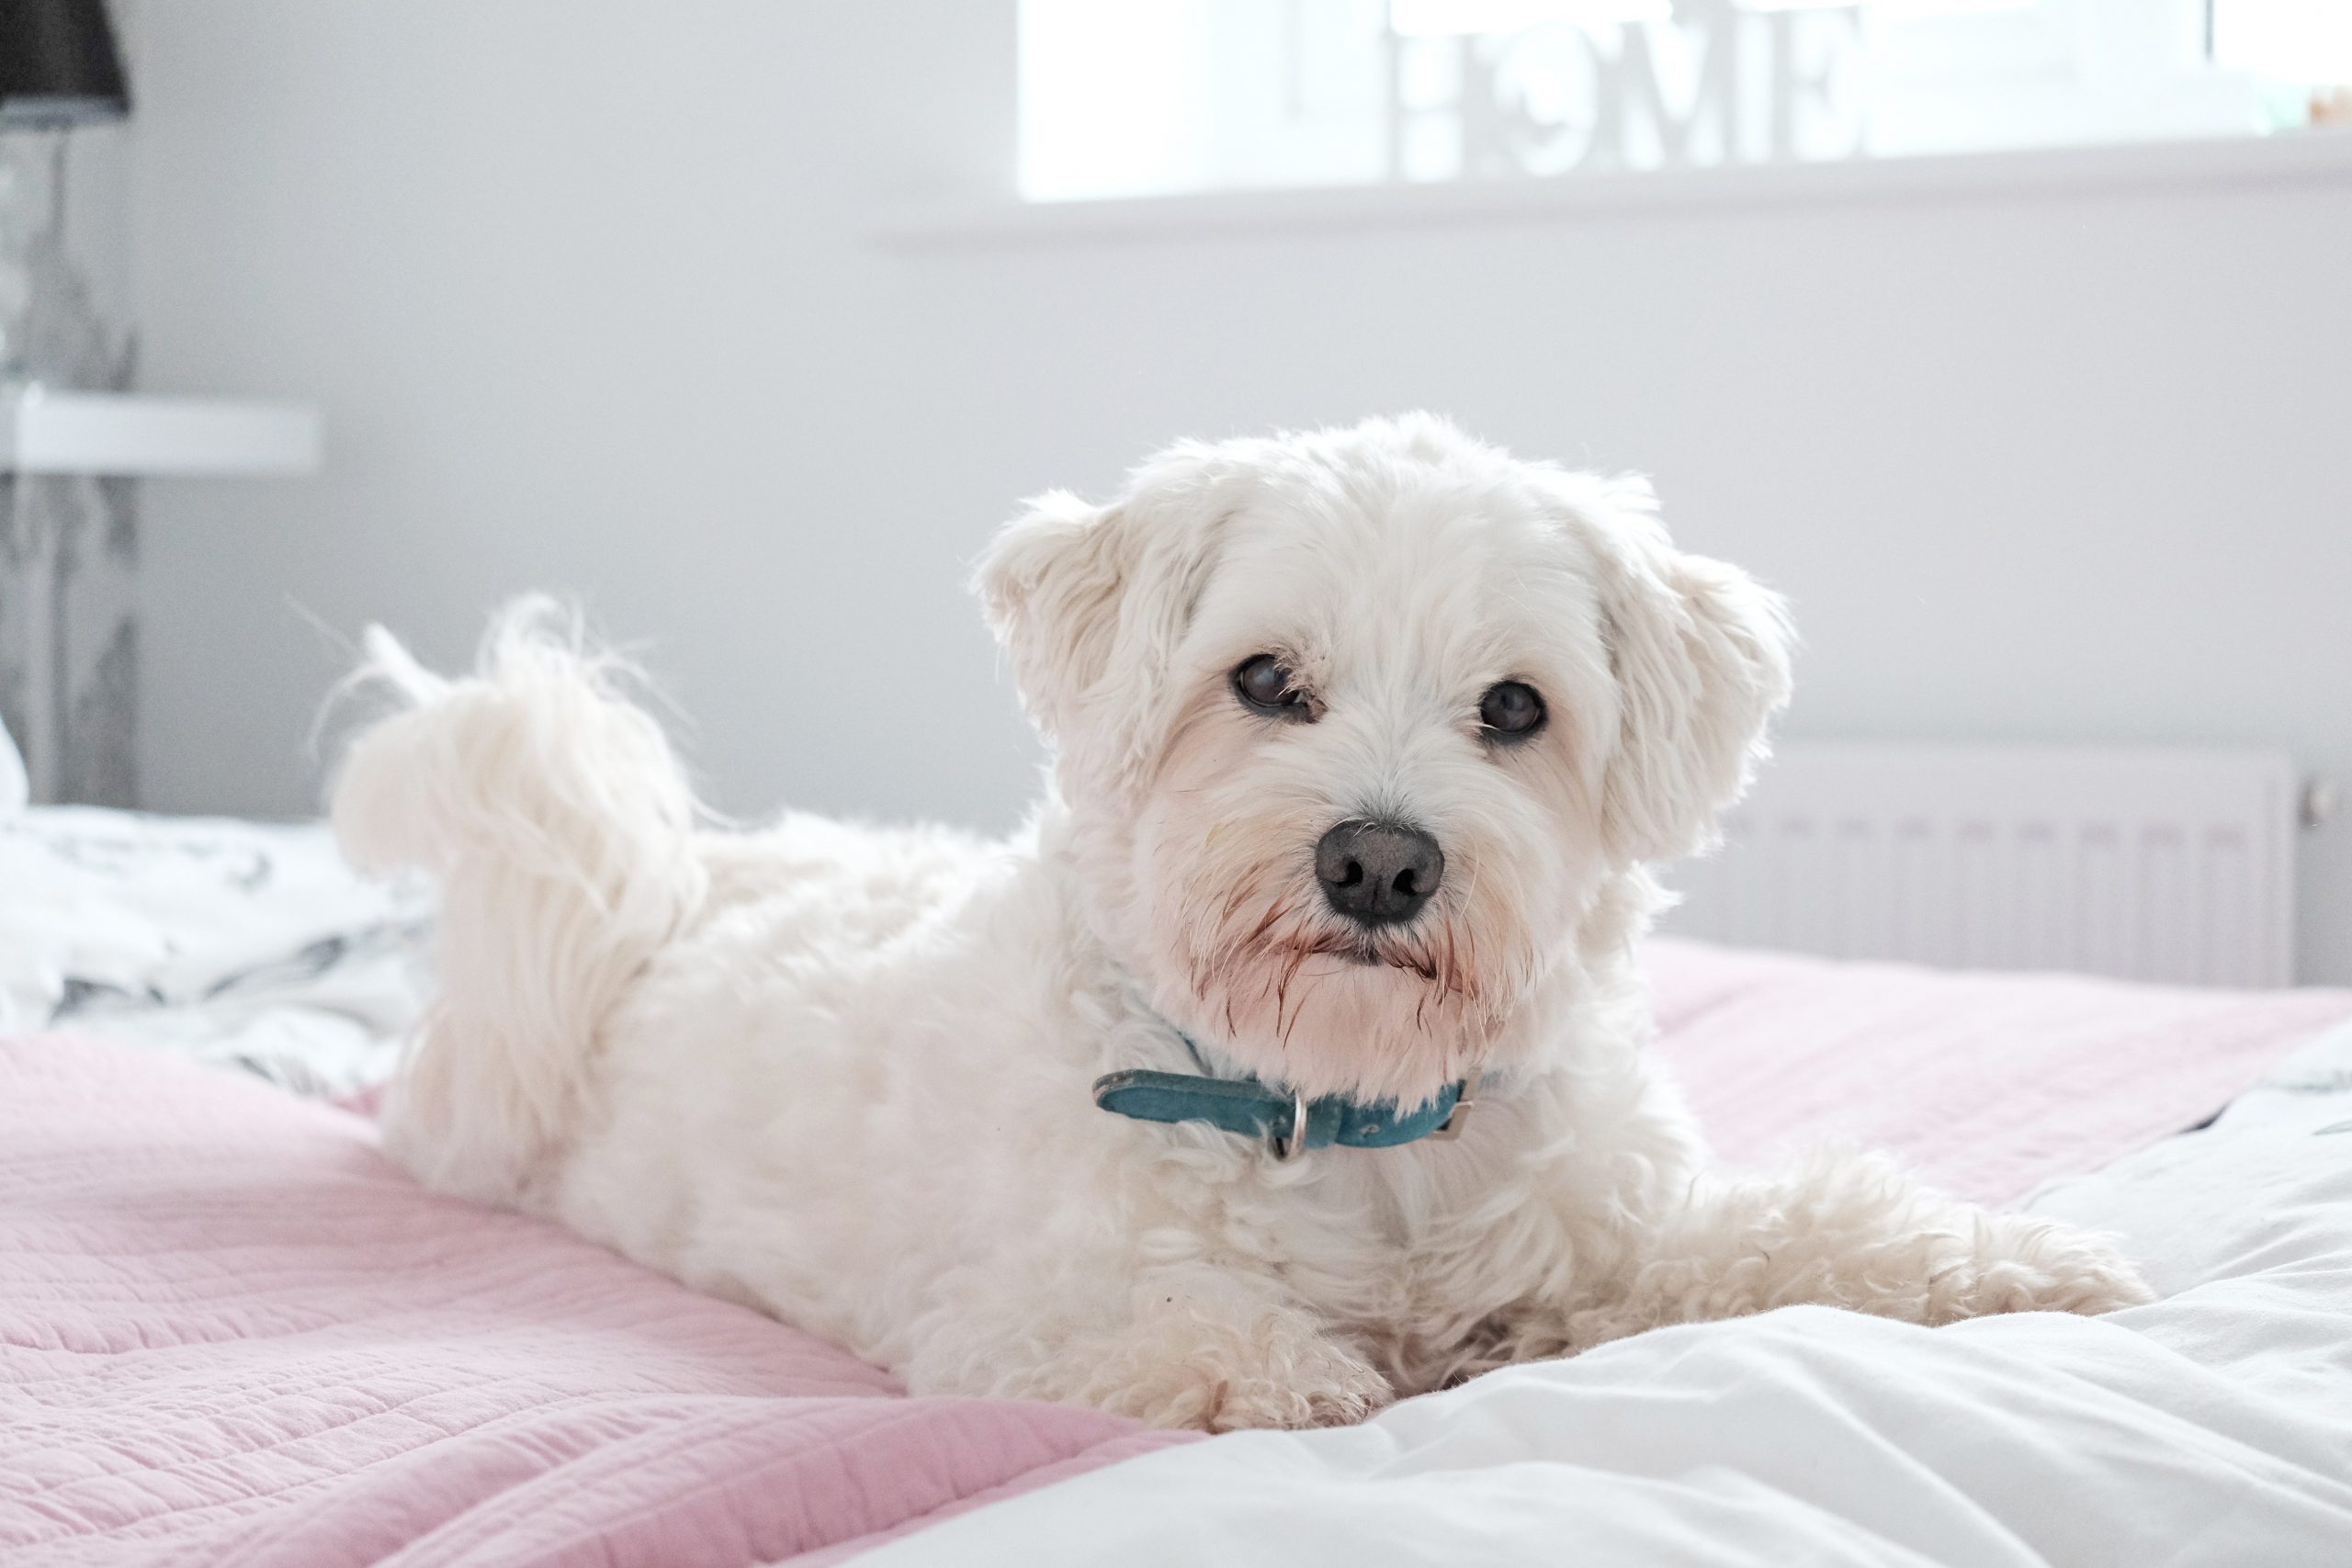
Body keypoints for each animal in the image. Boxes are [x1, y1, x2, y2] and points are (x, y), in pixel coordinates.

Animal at [326, 415, 2154, 1438]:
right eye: (1266, 679)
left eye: (1516, 706)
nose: (1381, 864)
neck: (1344, 1110)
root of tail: (676, 887)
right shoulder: (1013, 1312)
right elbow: (1198, 1330)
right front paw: (1301, 1375)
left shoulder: (1610, 1236)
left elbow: (1800, 1227)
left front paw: (2002, 1261)